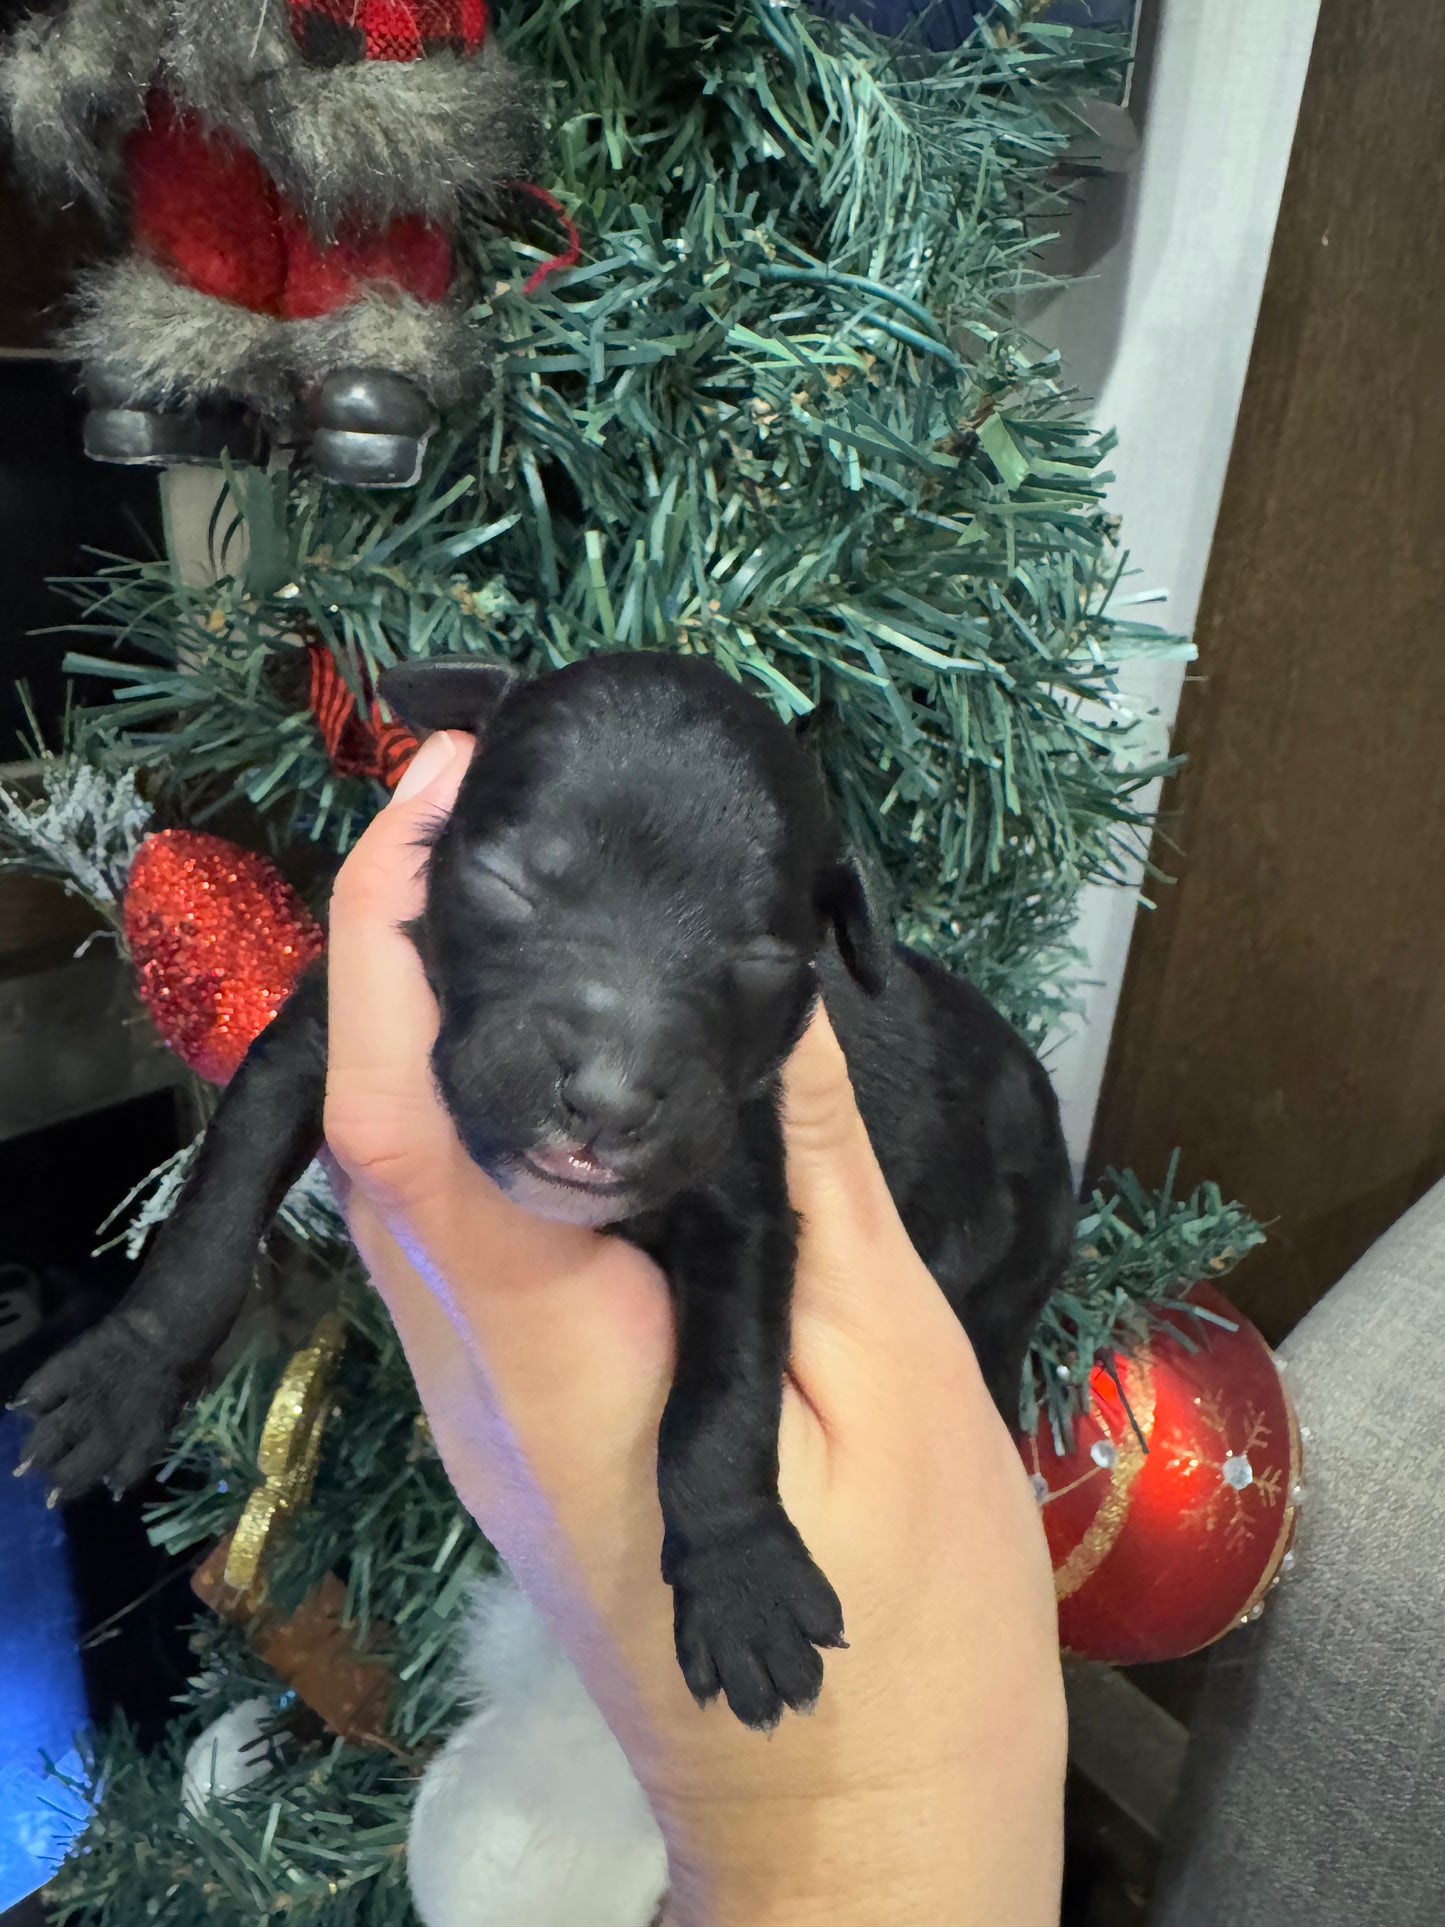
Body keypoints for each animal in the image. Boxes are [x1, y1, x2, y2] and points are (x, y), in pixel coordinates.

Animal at [14, 651, 1078, 1734]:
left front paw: (740, 1578)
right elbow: (214, 1214)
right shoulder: (314, 1042)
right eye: (504, 882)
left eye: (765, 961)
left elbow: (721, 1399)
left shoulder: (741, 1197)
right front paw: (124, 1373)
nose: (606, 1099)